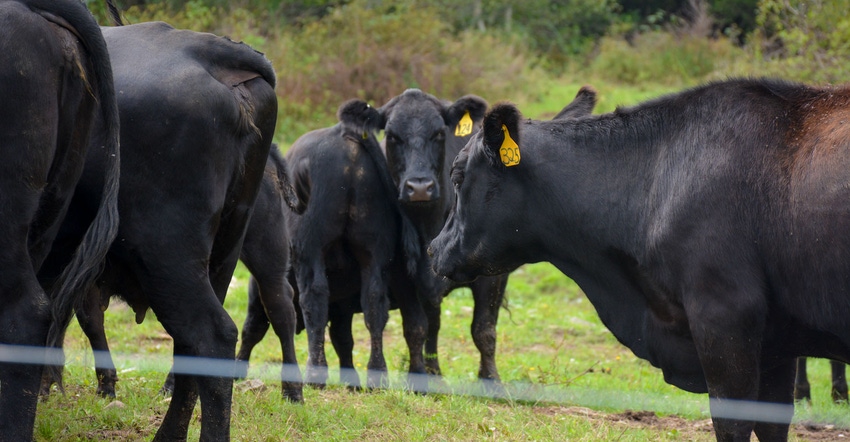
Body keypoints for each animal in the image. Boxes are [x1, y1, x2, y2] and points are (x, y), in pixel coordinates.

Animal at [430, 77, 850, 440]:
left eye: (457, 175)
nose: (434, 248)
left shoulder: (724, 318)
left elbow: (733, 424)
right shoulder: (776, 344)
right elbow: (771, 424)